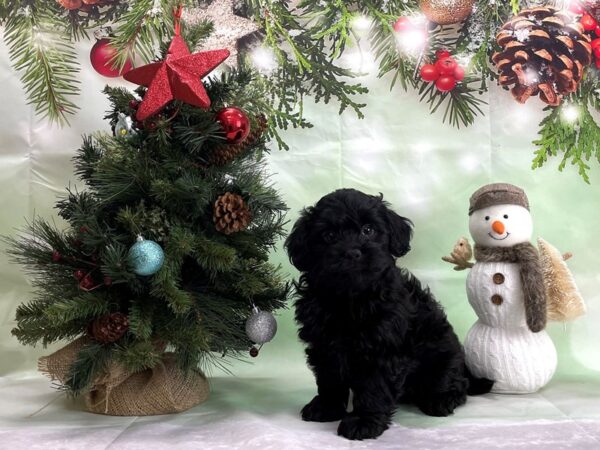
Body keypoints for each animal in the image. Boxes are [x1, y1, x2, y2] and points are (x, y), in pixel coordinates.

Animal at [286, 189, 492, 440]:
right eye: (329, 235)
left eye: (368, 230)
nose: (352, 252)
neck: (351, 297)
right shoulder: (324, 344)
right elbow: (329, 378)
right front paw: (327, 407)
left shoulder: (383, 347)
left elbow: (374, 387)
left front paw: (364, 422)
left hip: (444, 357)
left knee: (456, 383)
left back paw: (441, 399)